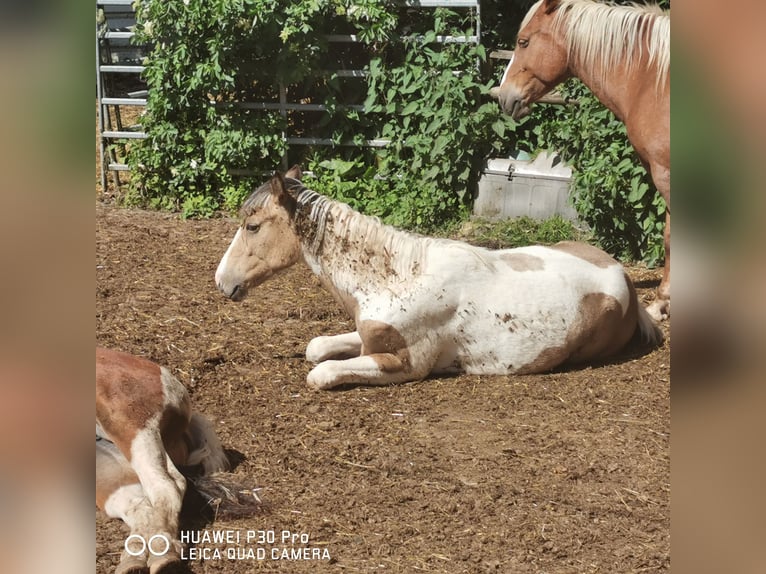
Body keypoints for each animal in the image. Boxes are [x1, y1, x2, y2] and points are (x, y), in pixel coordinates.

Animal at [215, 167, 662, 390]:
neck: (396, 277)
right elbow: (316, 347)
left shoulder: (404, 364)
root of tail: (623, 276)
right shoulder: (368, 336)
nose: (222, 281)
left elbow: (319, 373)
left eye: (252, 226)